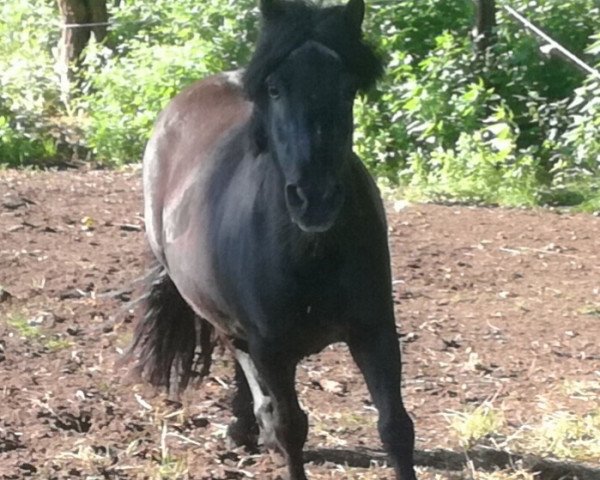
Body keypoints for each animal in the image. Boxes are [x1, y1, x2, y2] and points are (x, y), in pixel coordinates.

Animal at [129, 1, 414, 478]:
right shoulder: (272, 349)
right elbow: (291, 427)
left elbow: (396, 426)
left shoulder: (374, 331)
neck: (311, 254)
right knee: (239, 356)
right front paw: (269, 430)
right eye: (276, 88)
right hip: (215, 310)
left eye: (347, 88)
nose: (315, 198)